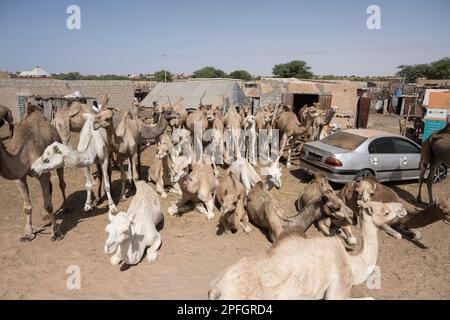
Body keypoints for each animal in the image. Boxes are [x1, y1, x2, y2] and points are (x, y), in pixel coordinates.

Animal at [0, 107, 67, 240]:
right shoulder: (19, 178)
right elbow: (27, 207)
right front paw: (28, 233)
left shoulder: (42, 174)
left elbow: (48, 205)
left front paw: (56, 232)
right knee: (51, 187)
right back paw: (47, 216)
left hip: (58, 156)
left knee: (61, 184)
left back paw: (67, 207)